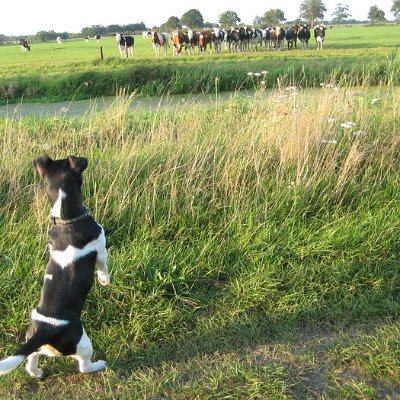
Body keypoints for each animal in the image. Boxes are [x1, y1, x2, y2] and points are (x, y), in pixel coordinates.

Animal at [0, 155, 109, 376]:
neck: (67, 220)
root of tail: (45, 330)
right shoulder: (101, 246)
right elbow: (103, 266)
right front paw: (105, 281)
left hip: (33, 341)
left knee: (31, 358)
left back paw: (37, 372)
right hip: (82, 342)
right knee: (84, 366)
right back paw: (99, 365)